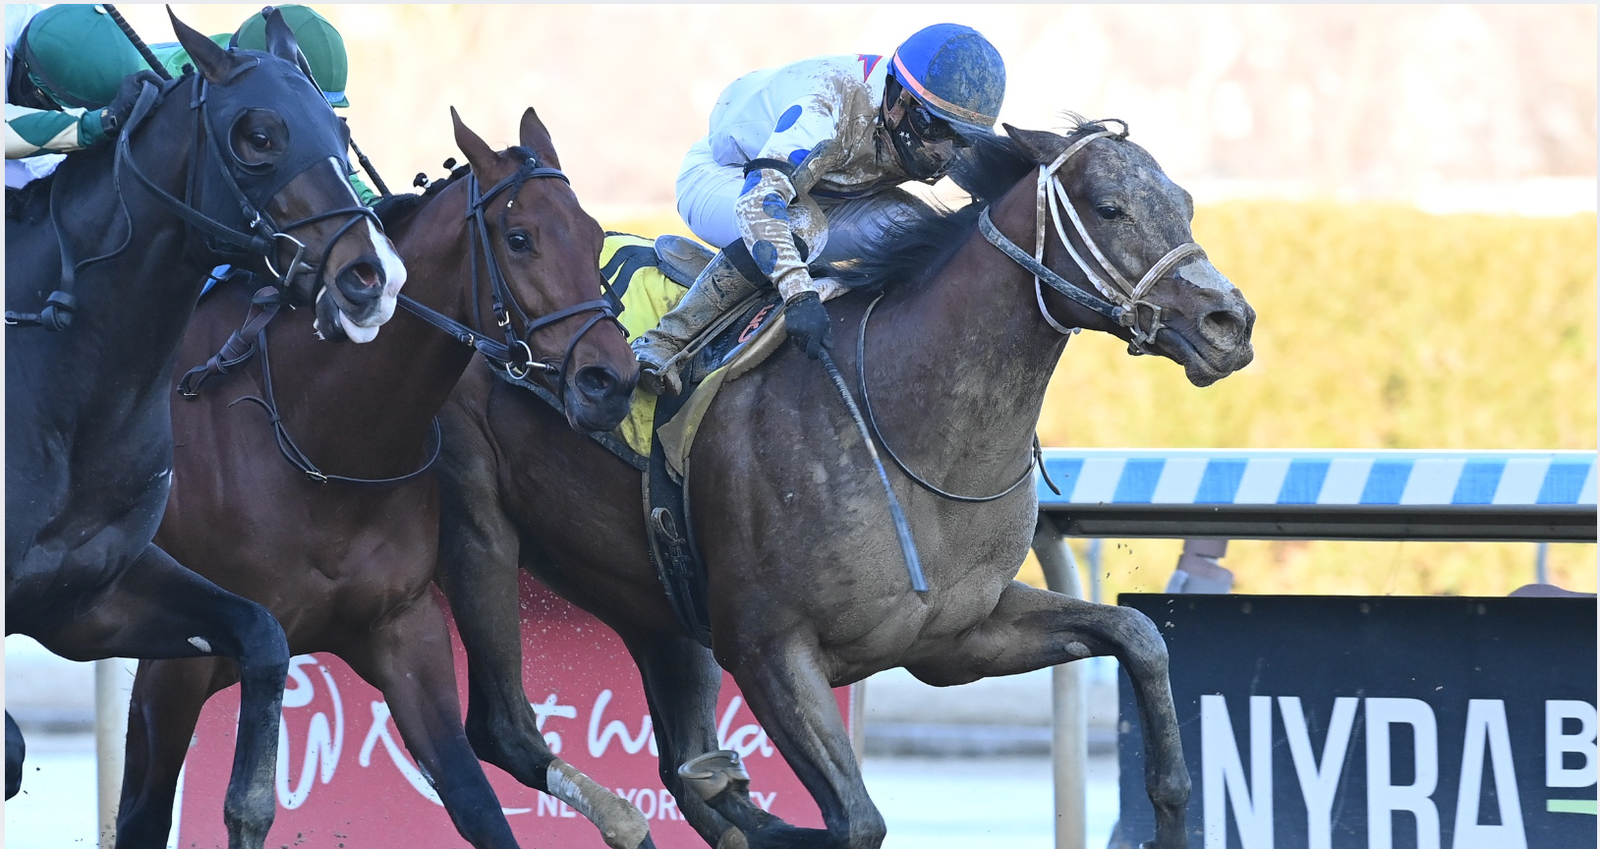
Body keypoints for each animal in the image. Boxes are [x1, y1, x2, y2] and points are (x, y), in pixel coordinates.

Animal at [5, 9, 403, 844]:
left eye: (341, 134)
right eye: (258, 134)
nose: (369, 277)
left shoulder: (86, 595)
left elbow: (263, 638)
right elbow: (11, 748)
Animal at [112, 109, 640, 849]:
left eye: (594, 236)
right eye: (519, 238)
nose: (610, 380)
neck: (321, 442)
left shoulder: (404, 631)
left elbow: (476, 800)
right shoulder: (176, 663)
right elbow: (149, 813)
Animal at [435, 121, 1248, 849]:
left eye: (1184, 201)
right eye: (1109, 208)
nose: (1229, 321)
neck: (910, 427)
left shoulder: (960, 635)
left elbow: (1139, 636)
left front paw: (1172, 810)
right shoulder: (768, 648)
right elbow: (857, 822)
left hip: (650, 598)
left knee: (687, 772)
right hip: (479, 534)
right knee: (503, 728)